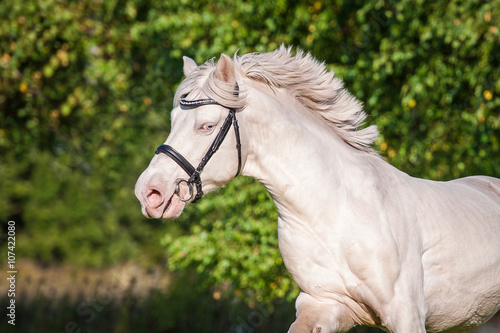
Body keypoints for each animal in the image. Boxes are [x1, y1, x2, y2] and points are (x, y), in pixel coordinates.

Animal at [134, 46, 500, 332]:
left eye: (207, 126)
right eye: (173, 121)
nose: (148, 193)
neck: (335, 214)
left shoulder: (406, 314)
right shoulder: (324, 303)